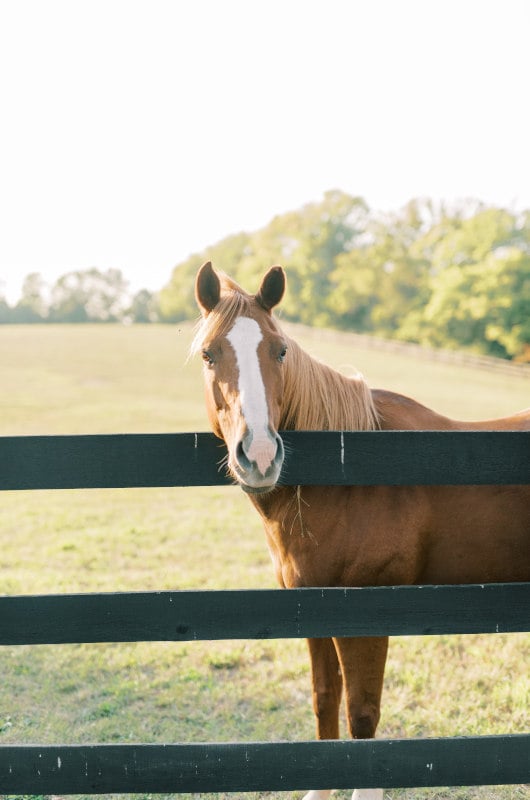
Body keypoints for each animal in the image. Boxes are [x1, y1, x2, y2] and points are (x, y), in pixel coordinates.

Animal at [193, 262, 528, 800]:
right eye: (209, 354)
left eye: (280, 350)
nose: (260, 456)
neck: (346, 476)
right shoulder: (310, 606)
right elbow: (325, 699)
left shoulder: (366, 615)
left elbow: (363, 713)